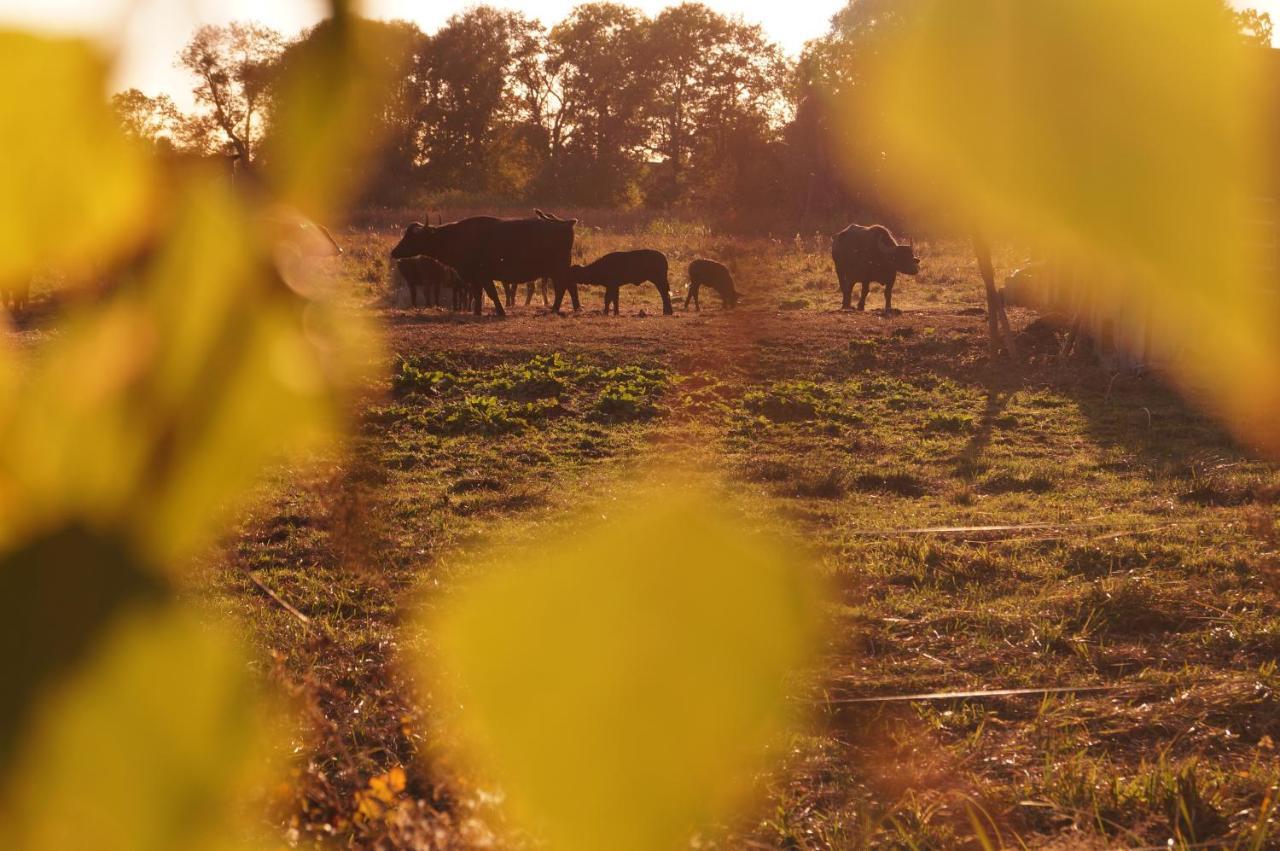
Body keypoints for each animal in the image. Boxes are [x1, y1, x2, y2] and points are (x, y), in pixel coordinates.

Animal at [389, 213, 581, 317]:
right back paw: (575, 308)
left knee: (564, 286)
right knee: (570, 285)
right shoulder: (474, 278)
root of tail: (564, 223)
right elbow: (477, 294)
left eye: (412, 237)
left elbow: (491, 294)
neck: (456, 237)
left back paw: (555, 309)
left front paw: (500, 311)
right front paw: (477, 311)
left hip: (558, 267)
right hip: (560, 268)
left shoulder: (483, 275)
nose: (394, 252)